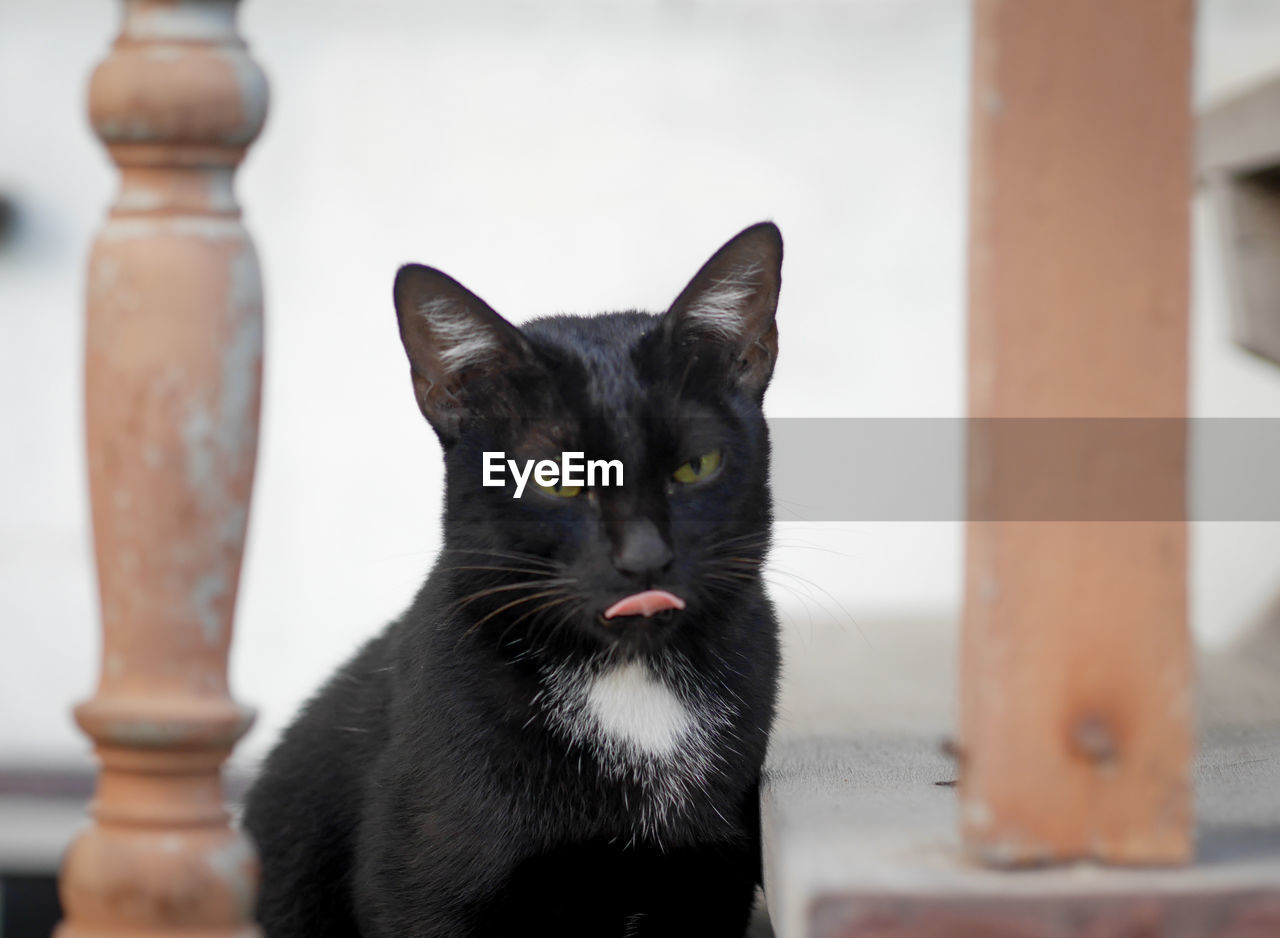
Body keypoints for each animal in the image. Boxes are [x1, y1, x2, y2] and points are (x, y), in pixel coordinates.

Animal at [239, 222, 778, 931]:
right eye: (555, 477)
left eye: (695, 467)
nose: (643, 558)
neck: (629, 689)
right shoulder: (418, 892)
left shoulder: (711, 879)